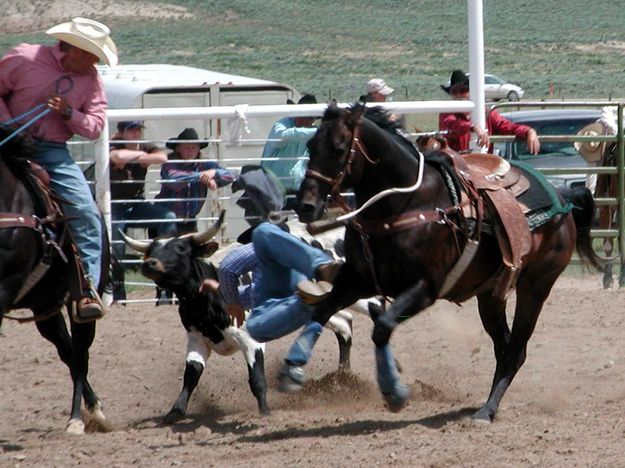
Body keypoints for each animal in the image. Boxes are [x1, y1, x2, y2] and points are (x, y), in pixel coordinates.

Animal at [294, 103, 604, 424]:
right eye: (311, 145)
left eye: (339, 148)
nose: (305, 205)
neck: (406, 204)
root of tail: (564, 199)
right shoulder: (358, 279)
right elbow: (323, 311)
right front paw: (291, 371)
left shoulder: (425, 288)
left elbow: (382, 327)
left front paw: (394, 392)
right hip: (490, 295)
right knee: (503, 347)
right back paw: (487, 405)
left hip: (535, 286)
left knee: (516, 349)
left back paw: (487, 410)